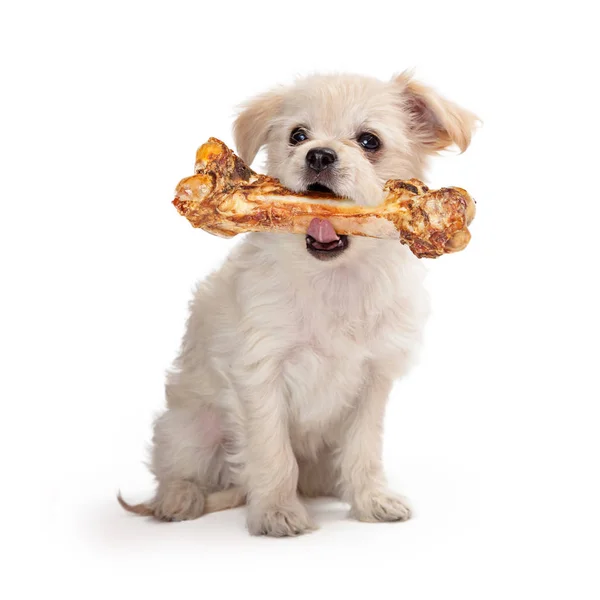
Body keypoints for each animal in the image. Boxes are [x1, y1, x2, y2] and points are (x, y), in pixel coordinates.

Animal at [118, 71, 478, 540]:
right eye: (297, 136)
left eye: (370, 141)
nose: (319, 154)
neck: (334, 279)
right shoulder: (260, 375)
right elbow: (273, 453)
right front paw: (276, 512)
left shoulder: (373, 380)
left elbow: (364, 450)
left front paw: (372, 501)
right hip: (192, 428)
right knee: (177, 469)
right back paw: (179, 499)